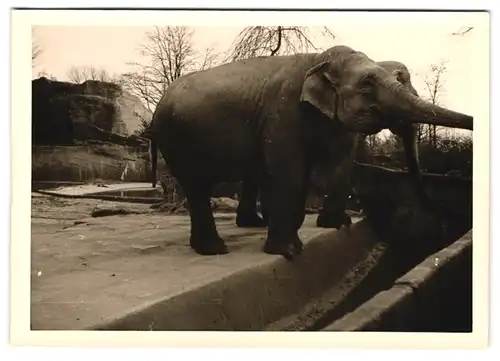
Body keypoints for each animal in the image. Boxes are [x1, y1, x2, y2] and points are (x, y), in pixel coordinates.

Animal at [147, 45, 472, 258]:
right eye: (367, 84)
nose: (440, 222)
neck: (319, 60)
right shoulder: (281, 111)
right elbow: (290, 172)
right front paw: (288, 251)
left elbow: (332, 164)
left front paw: (330, 227)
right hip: (176, 138)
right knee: (197, 185)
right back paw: (215, 250)